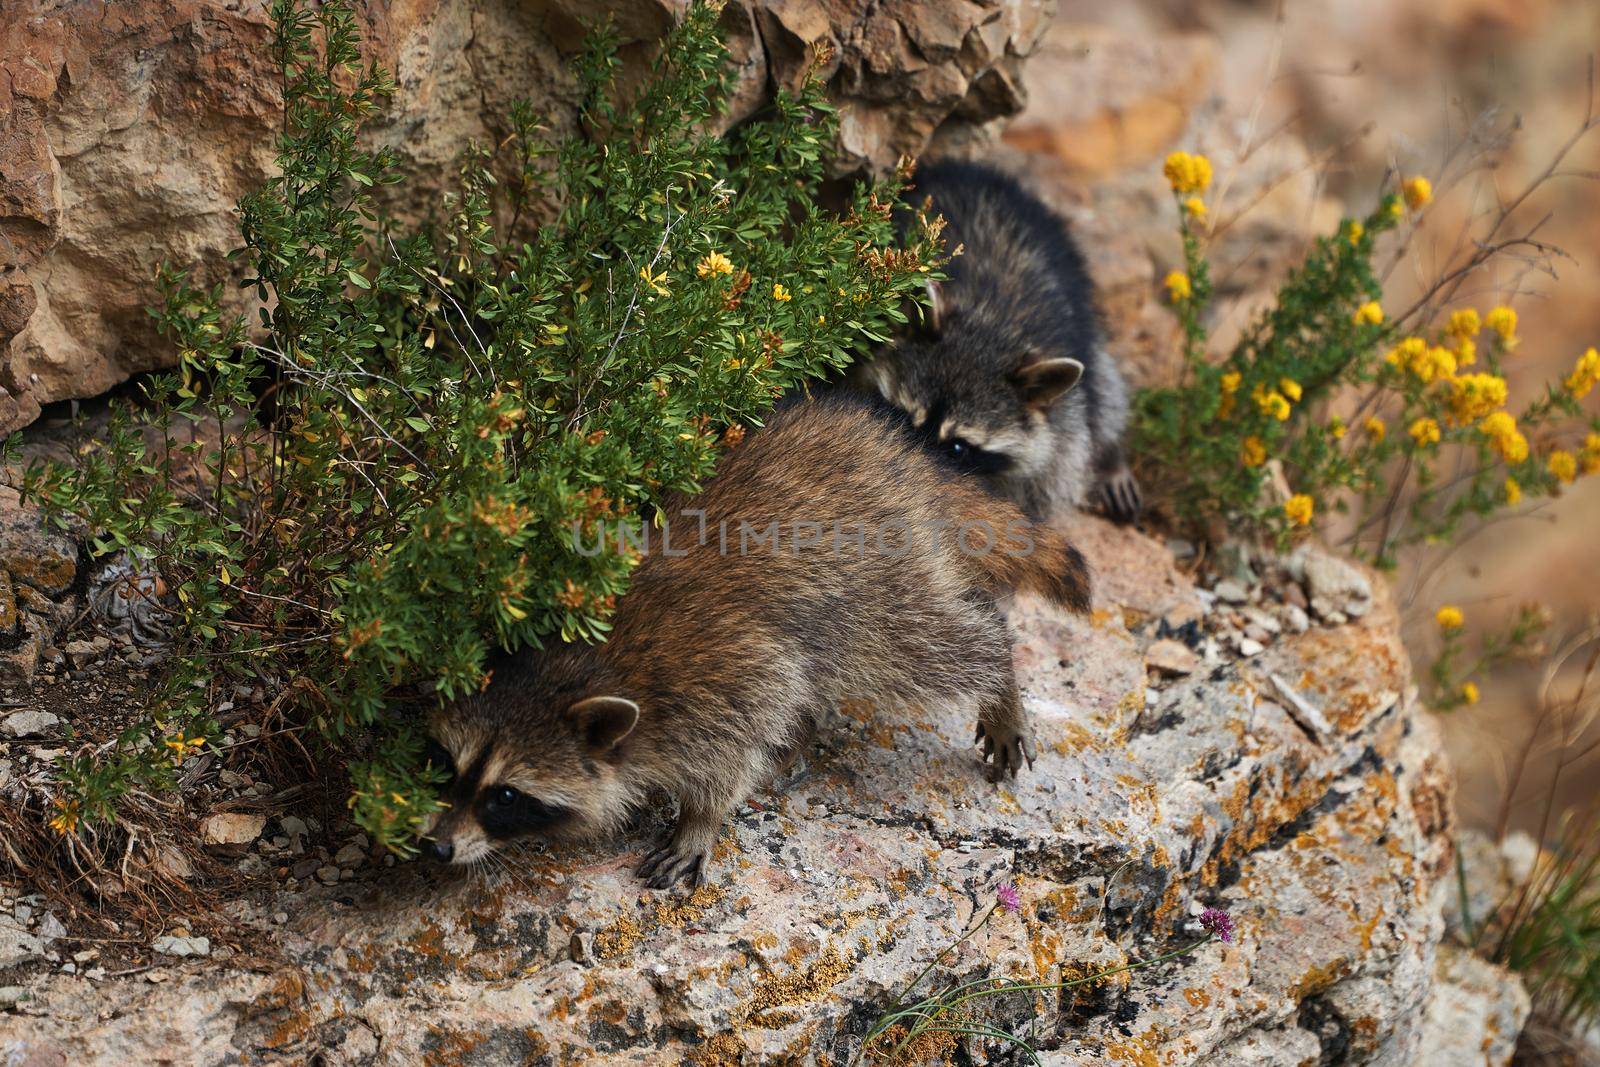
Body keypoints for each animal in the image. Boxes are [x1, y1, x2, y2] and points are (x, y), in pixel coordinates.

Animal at [419, 396, 1094, 889]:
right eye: (447, 764)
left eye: (506, 796)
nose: (436, 846)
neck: (582, 668)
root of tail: (905, 461)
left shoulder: (723, 675)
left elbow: (739, 742)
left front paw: (700, 822)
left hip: (874, 593)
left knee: (932, 648)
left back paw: (998, 675)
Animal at [851, 157, 1139, 521]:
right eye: (903, 418)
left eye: (958, 448)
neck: (989, 325)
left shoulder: (1064, 419)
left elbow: (1053, 468)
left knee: (1105, 388)